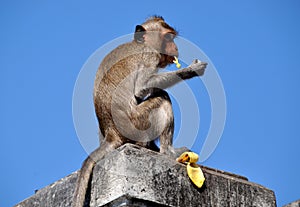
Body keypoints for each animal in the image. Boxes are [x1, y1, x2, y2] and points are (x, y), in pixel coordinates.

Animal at [71, 16, 207, 207]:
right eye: (168, 37)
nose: (175, 48)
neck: (140, 43)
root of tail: (112, 134)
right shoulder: (150, 55)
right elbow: (142, 87)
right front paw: (190, 71)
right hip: (138, 122)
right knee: (162, 98)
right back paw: (168, 152)